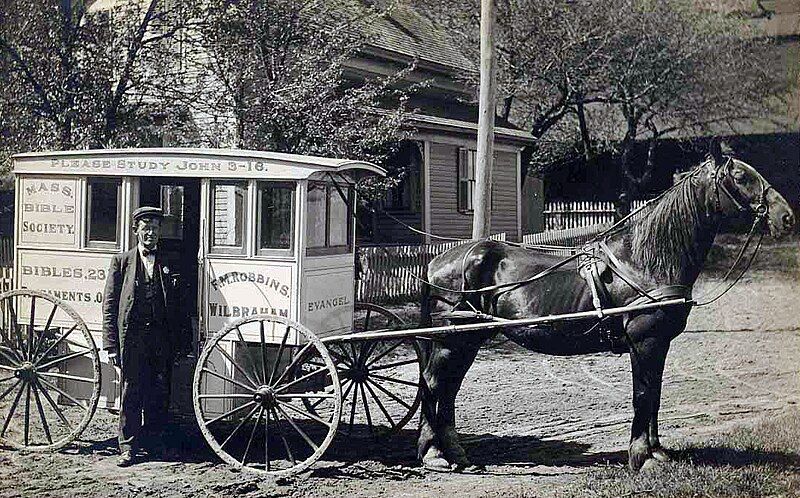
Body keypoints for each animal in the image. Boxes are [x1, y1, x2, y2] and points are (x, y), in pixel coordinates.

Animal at [418, 148, 792, 470]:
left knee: (445, 389)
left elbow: (655, 394)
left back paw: (451, 453)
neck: (644, 260)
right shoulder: (645, 341)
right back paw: (435, 454)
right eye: (741, 177)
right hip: (454, 339)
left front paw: (657, 452)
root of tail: (438, 262)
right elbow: (643, 394)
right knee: (435, 384)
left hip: (467, 339)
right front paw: (642, 457)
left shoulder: (659, 344)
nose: (786, 217)